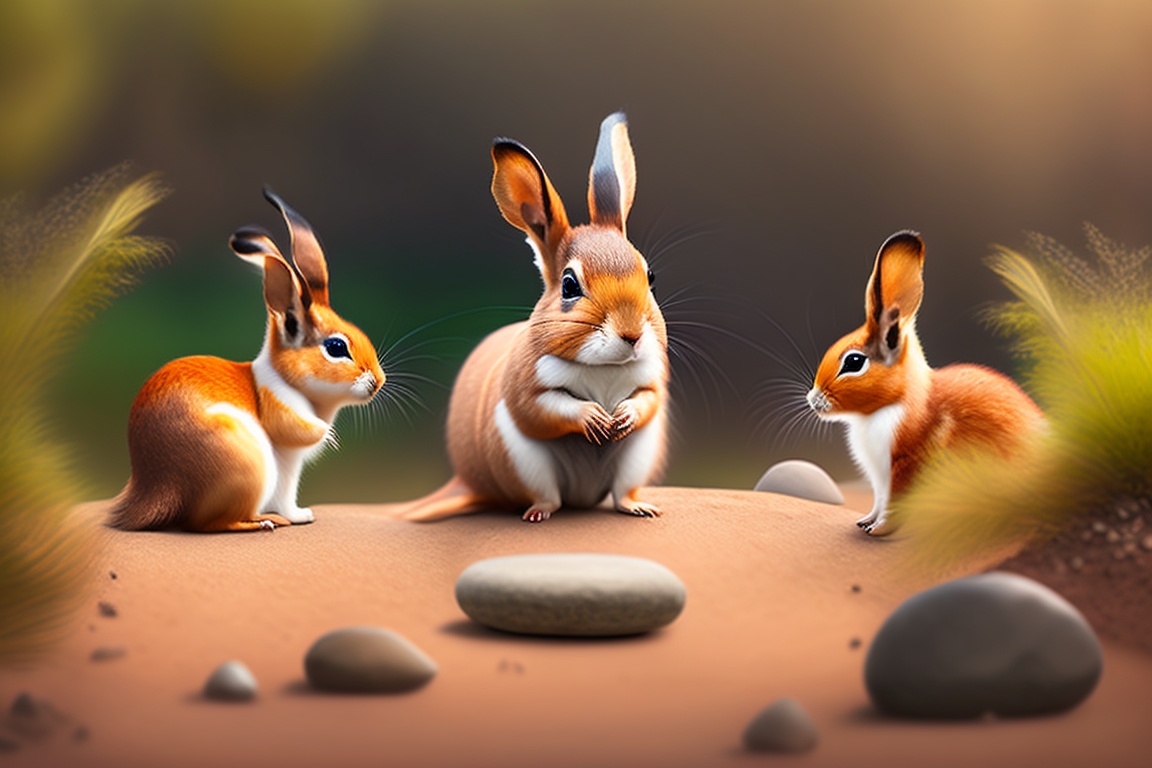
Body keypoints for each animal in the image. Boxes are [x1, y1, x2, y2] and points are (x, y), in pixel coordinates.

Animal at [108, 188, 384, 533]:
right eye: (336, 347)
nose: (377, 381)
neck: (287, 378)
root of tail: (158, 489)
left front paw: (301, 514)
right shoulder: (283, 424)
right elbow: (295, 448)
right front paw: (301, 512)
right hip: (250, 462)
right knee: (208, 523)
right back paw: (264, 521)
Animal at [402, 112, 668, 523]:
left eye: (650, 276)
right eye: (570, 285)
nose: (632, 335)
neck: (605, 369)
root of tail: (469, 480)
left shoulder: (652, 381)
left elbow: (646, 400)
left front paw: (621, 416)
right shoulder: (525, 390)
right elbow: (547, 409)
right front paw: (595, 418)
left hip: (637, 457)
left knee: (621, 494)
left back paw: (638, 507)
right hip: (526, 462)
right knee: (549, 498)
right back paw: (539, 513)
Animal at [806, 230, 1044, 536]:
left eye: (853, 362)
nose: (813, 399)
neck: (897, 402)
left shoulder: (904, 467)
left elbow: (894, 504)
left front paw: (880, 530)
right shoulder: (880, 478)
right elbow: (878, 501)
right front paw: (866, 521)